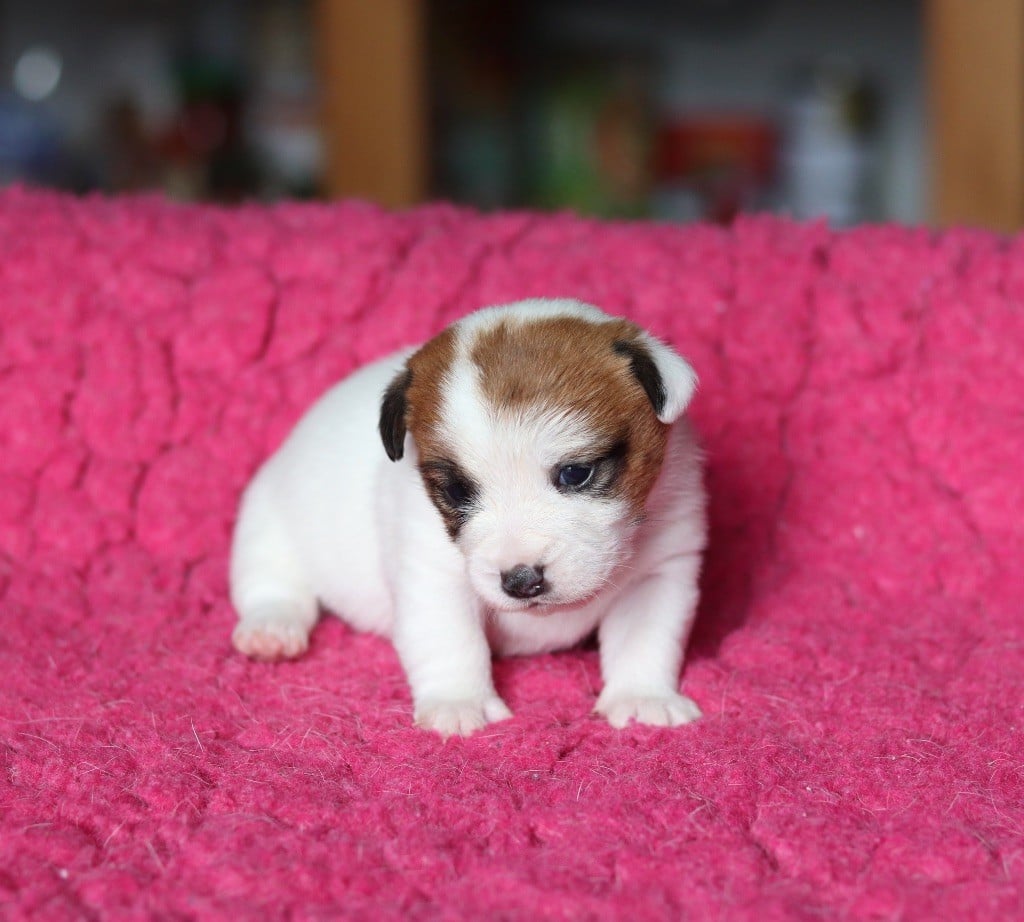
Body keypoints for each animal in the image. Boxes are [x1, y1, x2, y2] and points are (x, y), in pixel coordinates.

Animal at [230, 299, 704, 737]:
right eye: (459, 490)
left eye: (575, 472)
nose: (521, 580)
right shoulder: (432, 577)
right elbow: (451, 639)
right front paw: (460, 703)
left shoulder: (660, 573)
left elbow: (644, 638)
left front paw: (642, 697)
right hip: (264, 521)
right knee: (272, 580)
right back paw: (271, 628)